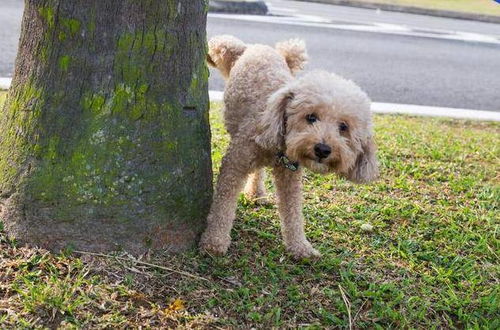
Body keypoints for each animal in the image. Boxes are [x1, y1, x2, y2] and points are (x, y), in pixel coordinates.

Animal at [199, 35, 378, 258]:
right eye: (311, 117)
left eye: (343, 127)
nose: (323, 149)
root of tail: (258, 47)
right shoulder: (235, 163)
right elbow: (223, 204)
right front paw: (214, 240)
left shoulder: (289, 176)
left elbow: (293, 212)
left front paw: (300, 246)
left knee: (258, 172)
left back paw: (256, 193)